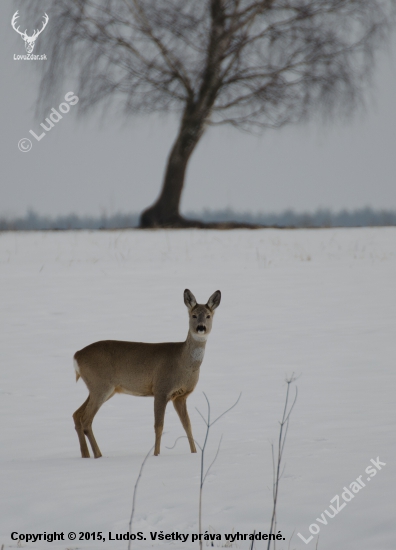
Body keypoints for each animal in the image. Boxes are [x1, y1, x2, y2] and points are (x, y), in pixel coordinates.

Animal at [72, 292, 221, 460]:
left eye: (208, 316)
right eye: (193, 315)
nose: (201, 327)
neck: (183, 362)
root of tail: (76, 356)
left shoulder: (181, 396)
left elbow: (187, 425)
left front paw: (194, 453)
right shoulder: (161, 389)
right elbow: (159, 426)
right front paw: (156, 454)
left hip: (102, 388)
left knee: (77, 414)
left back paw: (86, 455)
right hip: (101, 385)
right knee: (86, 420)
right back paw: (98, 455)